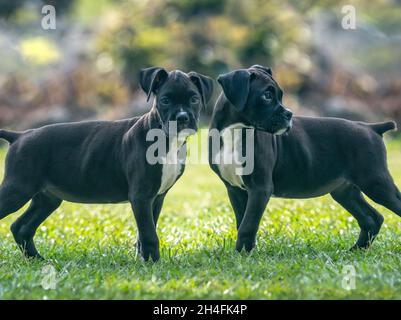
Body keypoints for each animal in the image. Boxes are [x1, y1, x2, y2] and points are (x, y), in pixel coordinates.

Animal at [0, 66, 214, 262]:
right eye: (165, 100)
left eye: (194, 99)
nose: (182, 118)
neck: (166, 138)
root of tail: (19, 135)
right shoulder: (141, 196)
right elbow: (149, 234)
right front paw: (153, 264)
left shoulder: (156, 198)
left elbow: (144, 232)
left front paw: (144, 262)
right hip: (18, 189)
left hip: (47, 198)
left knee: (21, 227)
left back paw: (37, 259)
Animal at [208, 64, 398, 252]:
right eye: (267, 96)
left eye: (280, 95)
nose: (289, 114)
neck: (236, 131)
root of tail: (371, 127)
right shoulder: (235, 190)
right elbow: (243, 221)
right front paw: (244, 252)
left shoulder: (260, 188)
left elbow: (248, 225)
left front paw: (242, 253)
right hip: (346, 191)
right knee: (372, 218)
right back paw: (357, 249)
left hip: (375, 182)